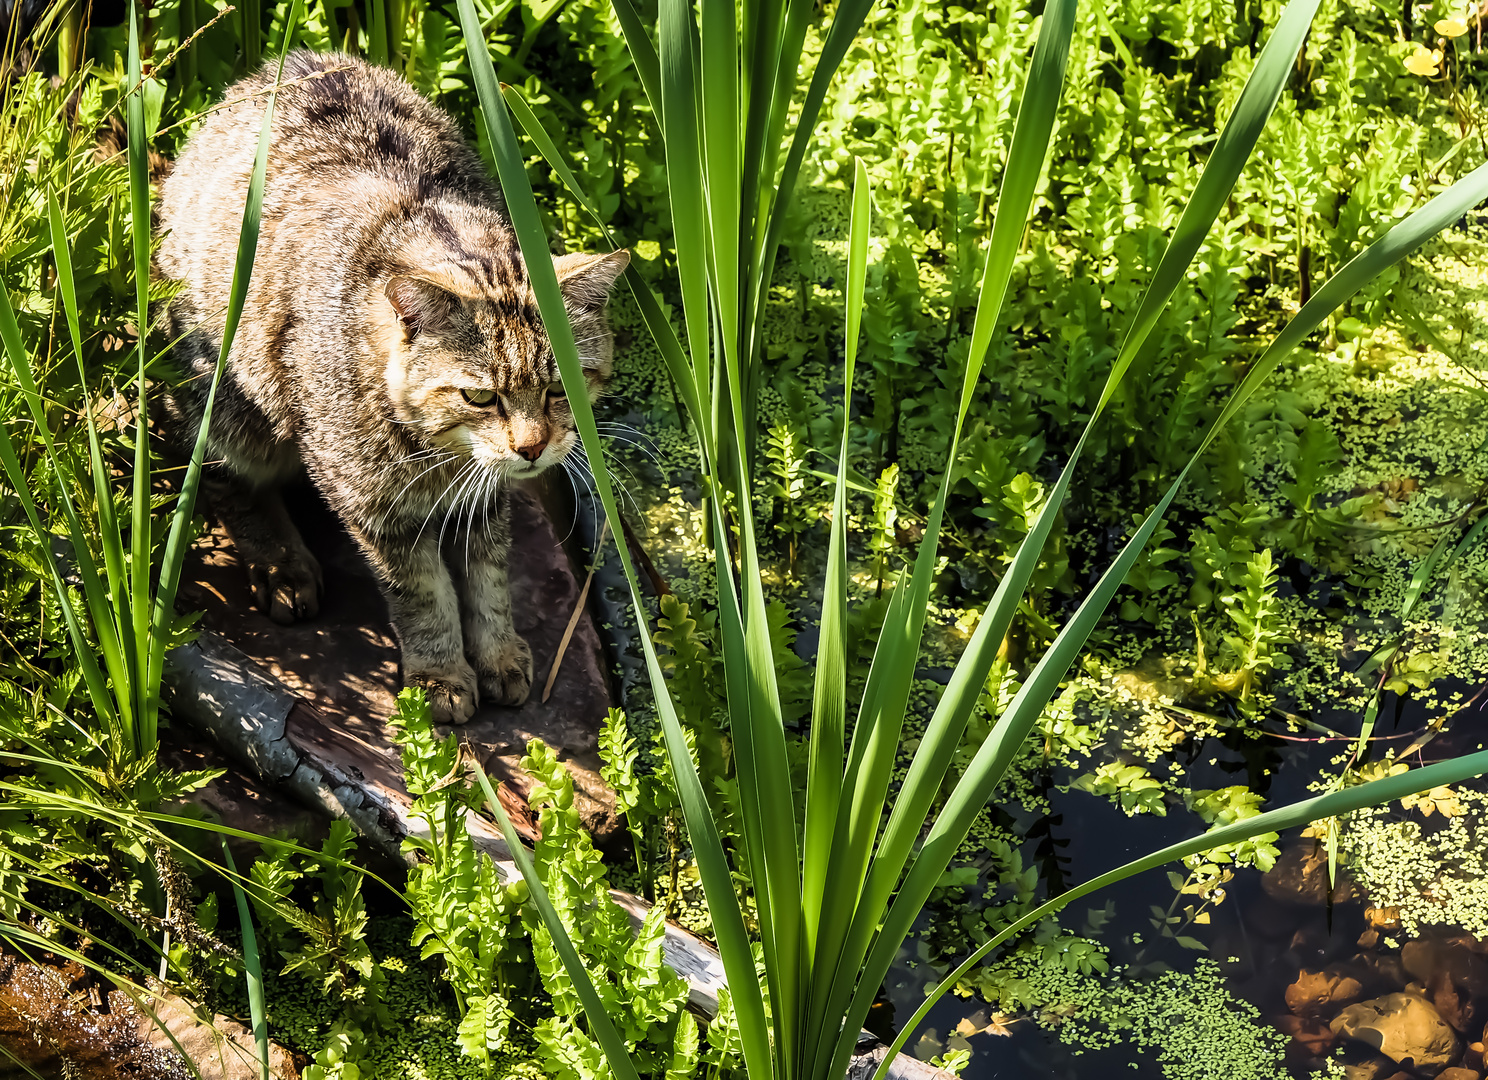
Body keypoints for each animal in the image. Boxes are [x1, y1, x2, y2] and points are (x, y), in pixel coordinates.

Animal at [155, 52, 627, 728]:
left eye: (559, 388)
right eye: (480, 397)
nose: (533, 448)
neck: (440, 454)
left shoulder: (486, 496)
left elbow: (489, 574)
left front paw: (499, 651)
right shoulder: (372, 506)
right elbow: (422, 594)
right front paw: (441, 674)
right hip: (225, 408)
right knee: (227, 481)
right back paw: (281, 563)